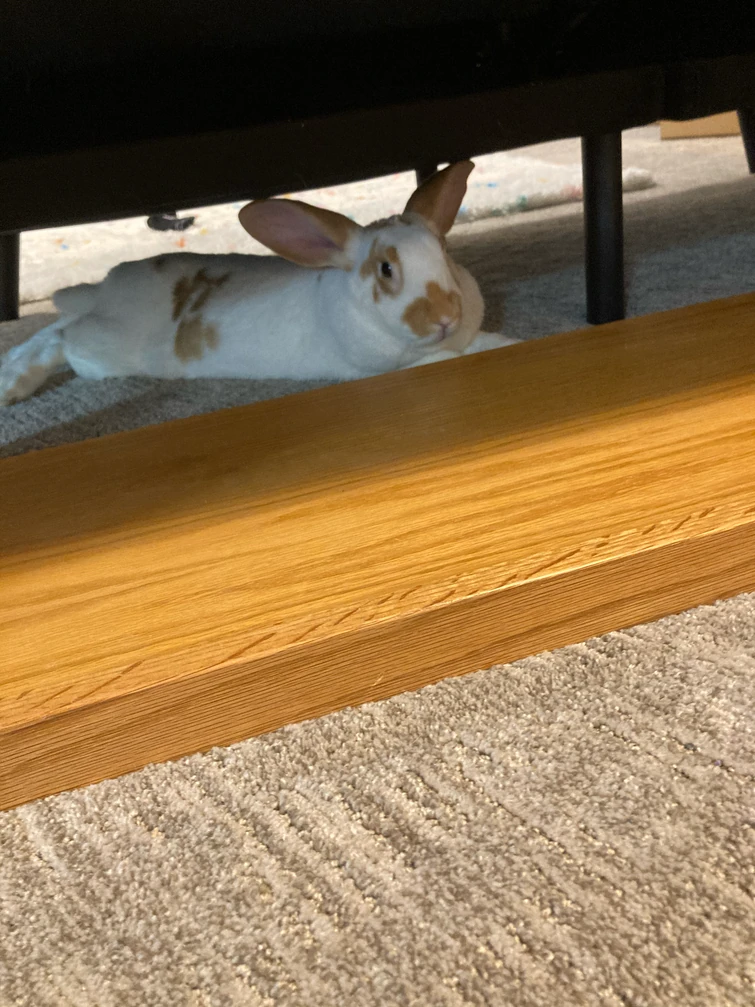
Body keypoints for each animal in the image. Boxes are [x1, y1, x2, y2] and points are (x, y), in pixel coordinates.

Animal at [0, 161, 517, 406]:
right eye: (386, 269)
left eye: (444, 252)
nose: (446, 317)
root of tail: (104, 288)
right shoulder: (387, 365)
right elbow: (459, 355)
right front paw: (506, 346)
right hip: (105, 351)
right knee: (61, 337)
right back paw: (16, 385)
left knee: (53, 327)